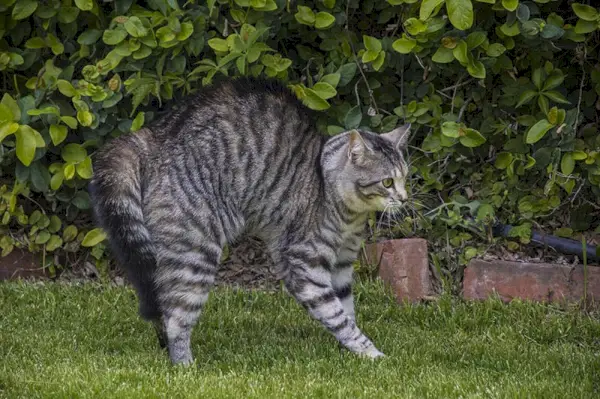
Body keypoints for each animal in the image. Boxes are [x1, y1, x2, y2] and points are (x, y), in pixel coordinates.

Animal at [89, 77, 410, 366]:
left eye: (405, 176)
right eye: (387, 181)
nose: (406, 198)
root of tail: (154, 134)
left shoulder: (343, 263)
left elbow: (346, 306)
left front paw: (349, 351)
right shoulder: (304, 263)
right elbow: (335, 313)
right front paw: (369, 352)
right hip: (196, 253)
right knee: (176, 318)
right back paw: (184, 366)